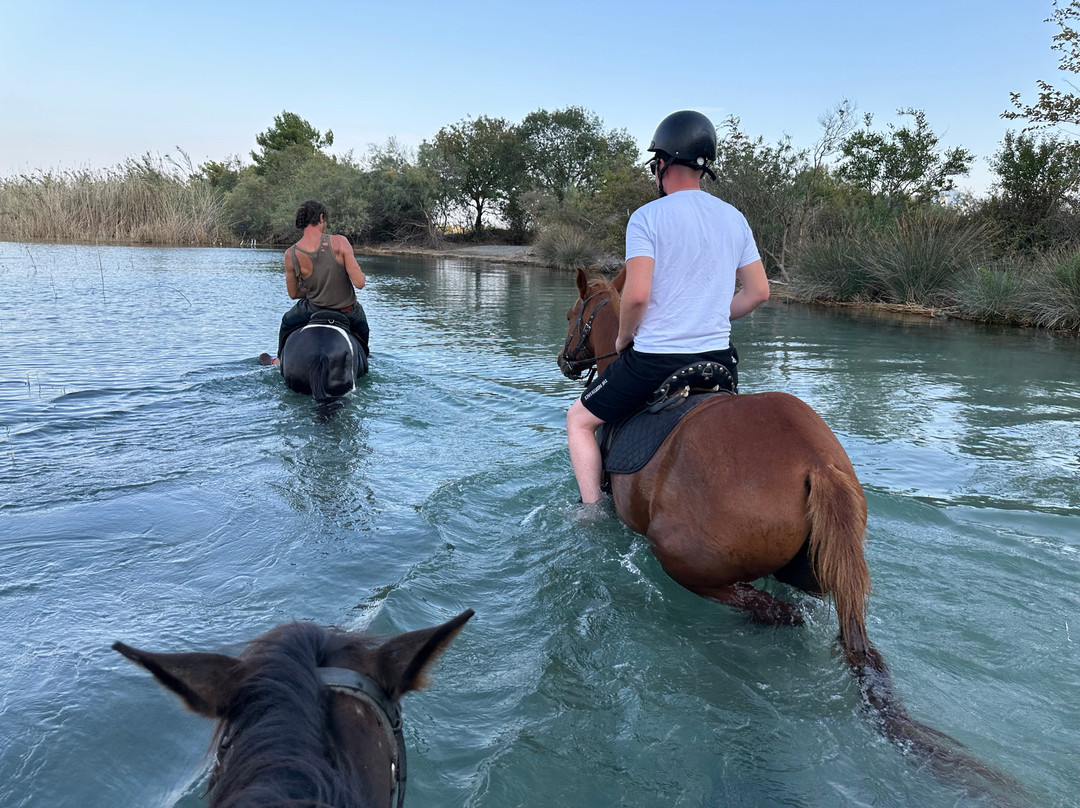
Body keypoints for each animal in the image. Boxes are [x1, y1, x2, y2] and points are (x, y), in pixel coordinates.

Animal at [558, 267, 1022, 802]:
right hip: (814, 571)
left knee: (773, 612)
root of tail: (815, 463)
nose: (566, 360)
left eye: (572, 316)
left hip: (685, 563)